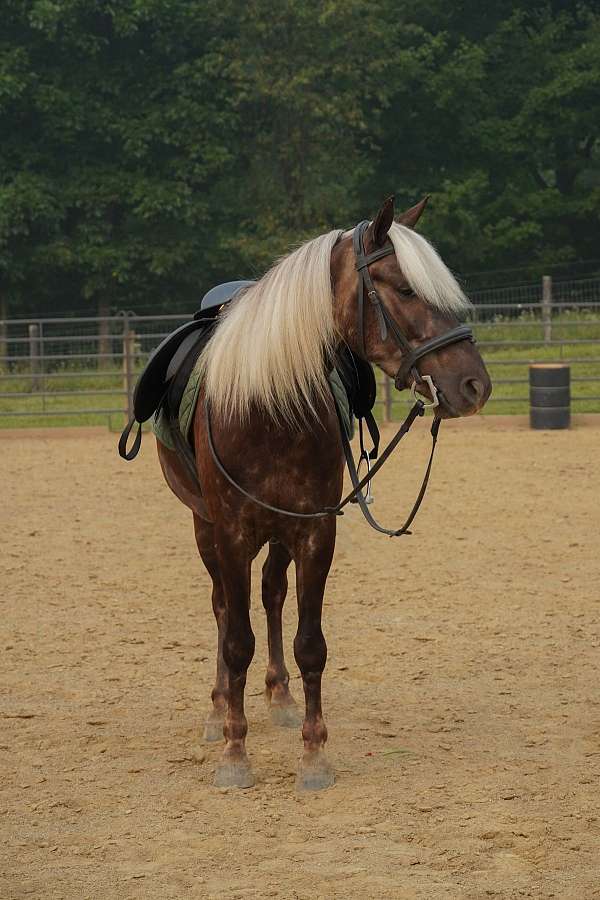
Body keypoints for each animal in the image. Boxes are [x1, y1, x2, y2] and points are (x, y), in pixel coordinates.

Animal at [156, 196, 492, 791]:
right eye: (404, 288)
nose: (474, 385)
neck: (266, 409)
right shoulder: (232, 534)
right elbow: (235, 640)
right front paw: (234, 752)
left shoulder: (314, 532)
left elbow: (310, 644)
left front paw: (313, 753)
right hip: (205, 526)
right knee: (222, 607)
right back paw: (219, 710)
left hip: (278, 533)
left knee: (271, 595)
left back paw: (280, 698)